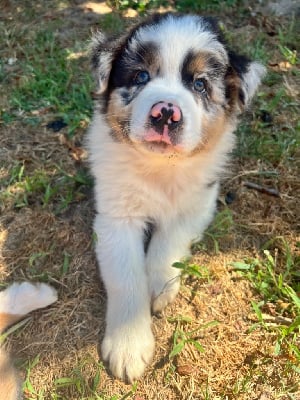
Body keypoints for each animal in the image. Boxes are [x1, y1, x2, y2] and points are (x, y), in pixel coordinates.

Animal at [88, 12, 266, 382]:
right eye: (141, 76)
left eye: (199, 85)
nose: (166, 112)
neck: (160, 167)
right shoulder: (115, 217)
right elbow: (125, 276)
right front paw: (128, 347)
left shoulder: (200, 201)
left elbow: (168, 242)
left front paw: (159, 286)